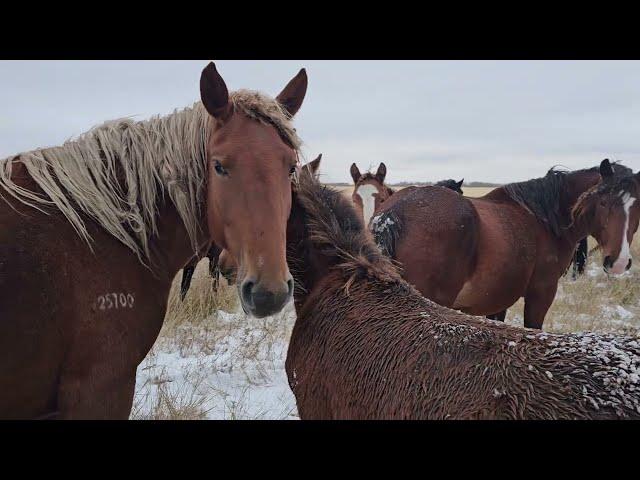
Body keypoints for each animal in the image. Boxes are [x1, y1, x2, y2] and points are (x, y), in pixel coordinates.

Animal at [372, 159, 636, 328]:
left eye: (638, 205)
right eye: (603, 202)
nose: (619, 261)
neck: (545, 218)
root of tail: (394, 212)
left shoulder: (497, 298)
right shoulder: (541, 293)